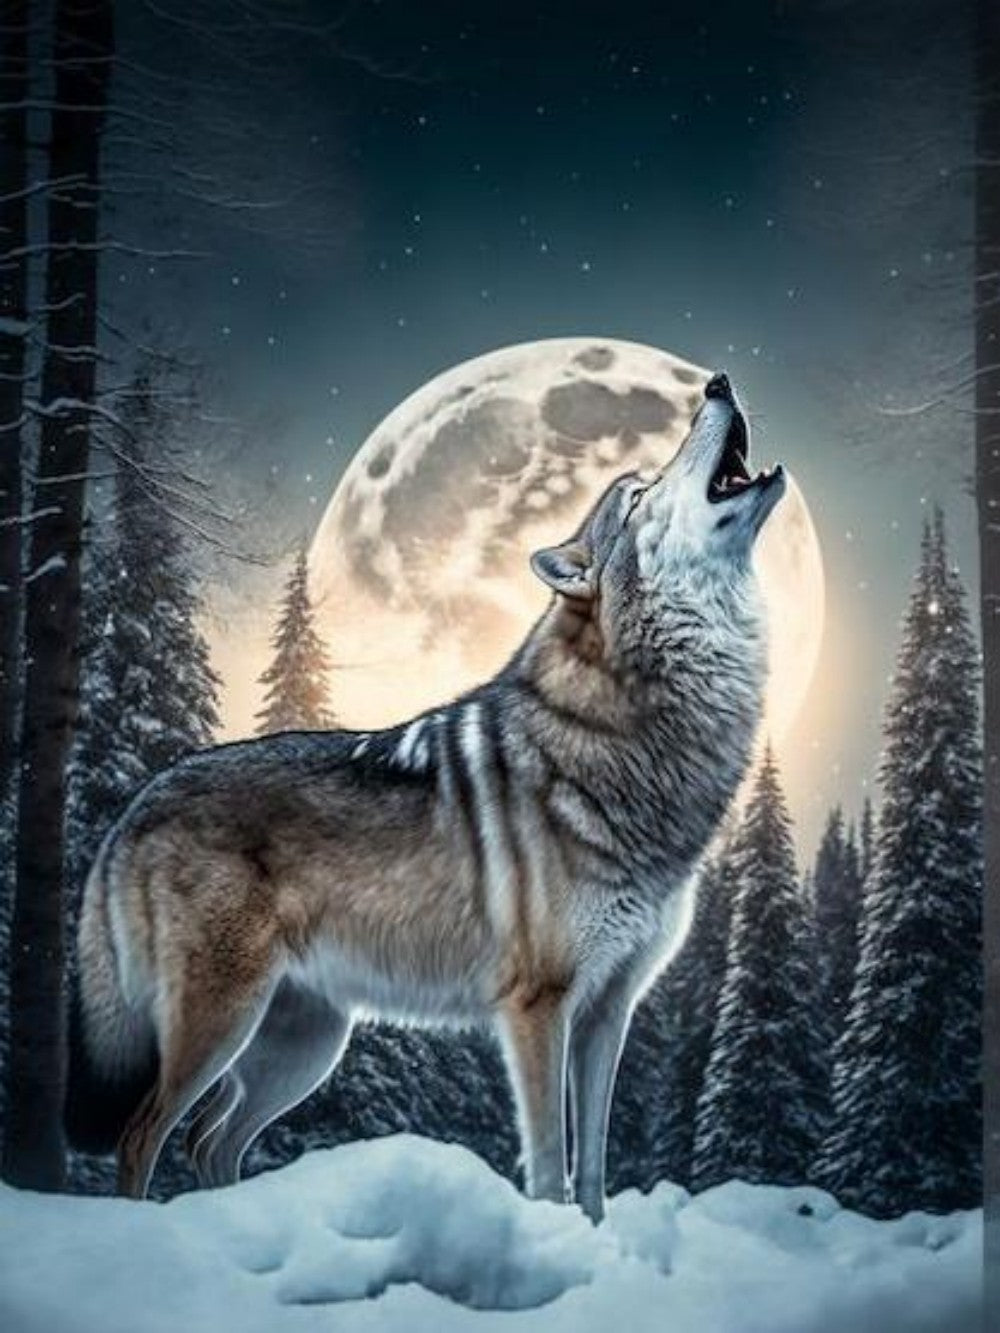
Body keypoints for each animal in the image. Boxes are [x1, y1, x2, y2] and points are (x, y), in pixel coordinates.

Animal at [65, 371, 784, 1222]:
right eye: (638, 492)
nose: (716, 382)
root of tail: (139, 798)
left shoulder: (610, 1010)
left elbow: (596, 1171)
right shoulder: (538, 1005)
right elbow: (551, 1164)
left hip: (303, 1046)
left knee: (211, 1142)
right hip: (224, 1023)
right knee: (141, 1137)